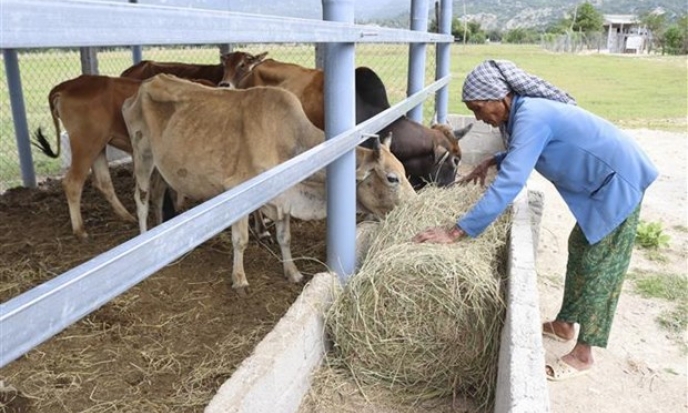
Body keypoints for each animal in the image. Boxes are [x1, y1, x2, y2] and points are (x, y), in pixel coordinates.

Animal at [121, 73, 416, 290]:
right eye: (392, 178)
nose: (416, 206)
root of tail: (145, 84)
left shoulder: (283, 198)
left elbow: (285, 237)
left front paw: (292, 272)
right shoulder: (237, 192)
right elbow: (240, 240)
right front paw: (240, 280)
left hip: (161, 166)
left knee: (157, 193)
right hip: (142, 154)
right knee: (141, 197)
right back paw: (144, 240)